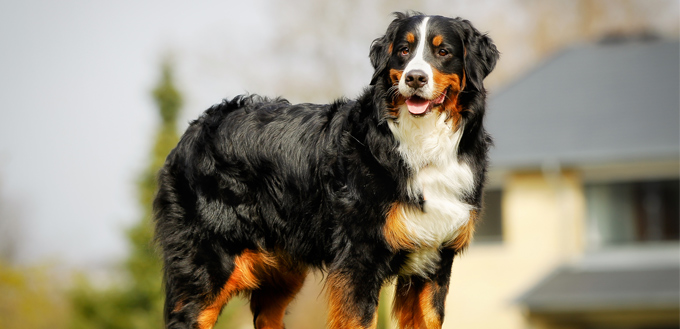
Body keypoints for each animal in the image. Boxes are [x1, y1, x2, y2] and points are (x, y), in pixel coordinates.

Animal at [154, 11, 496, 328]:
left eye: (443, 52)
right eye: (403, 50)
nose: (414, 78)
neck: (422, 143)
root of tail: (195, 128)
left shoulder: (434, 260)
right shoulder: (359, 257)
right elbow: (360, 320)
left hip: (282, 269)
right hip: (209, 263)